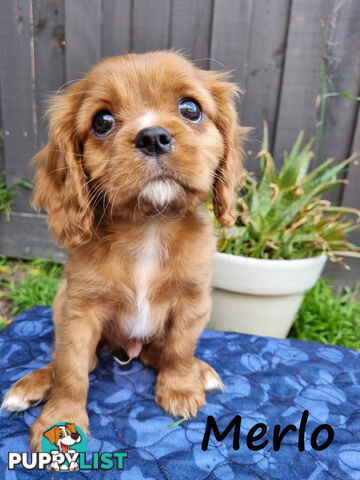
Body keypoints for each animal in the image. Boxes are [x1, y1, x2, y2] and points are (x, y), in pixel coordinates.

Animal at [1, 51, 246, 450]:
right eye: (102, 122)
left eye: (190, 109)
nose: (153, 137)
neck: (148, 226)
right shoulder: (78, 312)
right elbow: (71, 370)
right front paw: (61, 418)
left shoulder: (193, 302)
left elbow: (180, 348)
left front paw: (180, 388)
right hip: (60, 301)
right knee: (71, 362)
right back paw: (32, 384)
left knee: (157, 351)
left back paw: (200, 371)